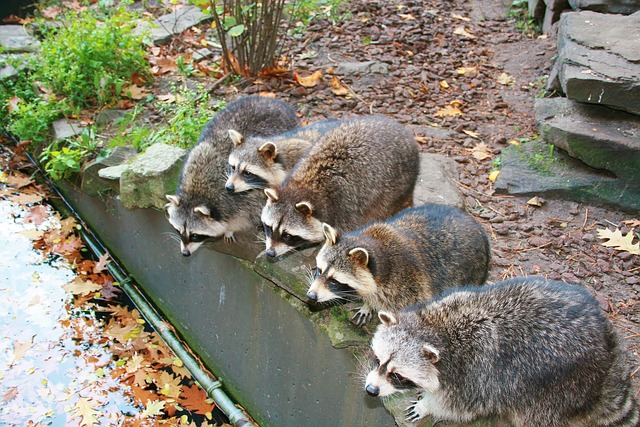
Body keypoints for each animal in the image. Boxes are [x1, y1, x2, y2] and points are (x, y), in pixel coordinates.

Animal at [165, 95, 300, 256]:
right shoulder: (195, 159)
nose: (185, 253)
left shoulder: (244, 199)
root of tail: (270, 99)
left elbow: (247, 214)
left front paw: (230, 229)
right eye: (178, 231)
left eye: (195, 235)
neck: (196, 194)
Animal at [261, 116, 419, 258]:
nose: (270, 253)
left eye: (288, 236)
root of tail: (401, 129)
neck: (305, 188)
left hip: (398, 183)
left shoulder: (345, 209)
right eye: (269, 228)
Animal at [307, 204, 490, 326]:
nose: (311, 296)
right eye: (320, 270)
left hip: (470, 274)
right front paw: (368, 305)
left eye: (334, 281)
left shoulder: (410, 287)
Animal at [365, 277, 640, 427]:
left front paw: (428, 405)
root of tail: (607, 346)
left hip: (560, 383)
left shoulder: (475, 373)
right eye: (377, 360)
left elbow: (457, 406)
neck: (434, 329)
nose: (371, 390)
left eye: (397, 375)